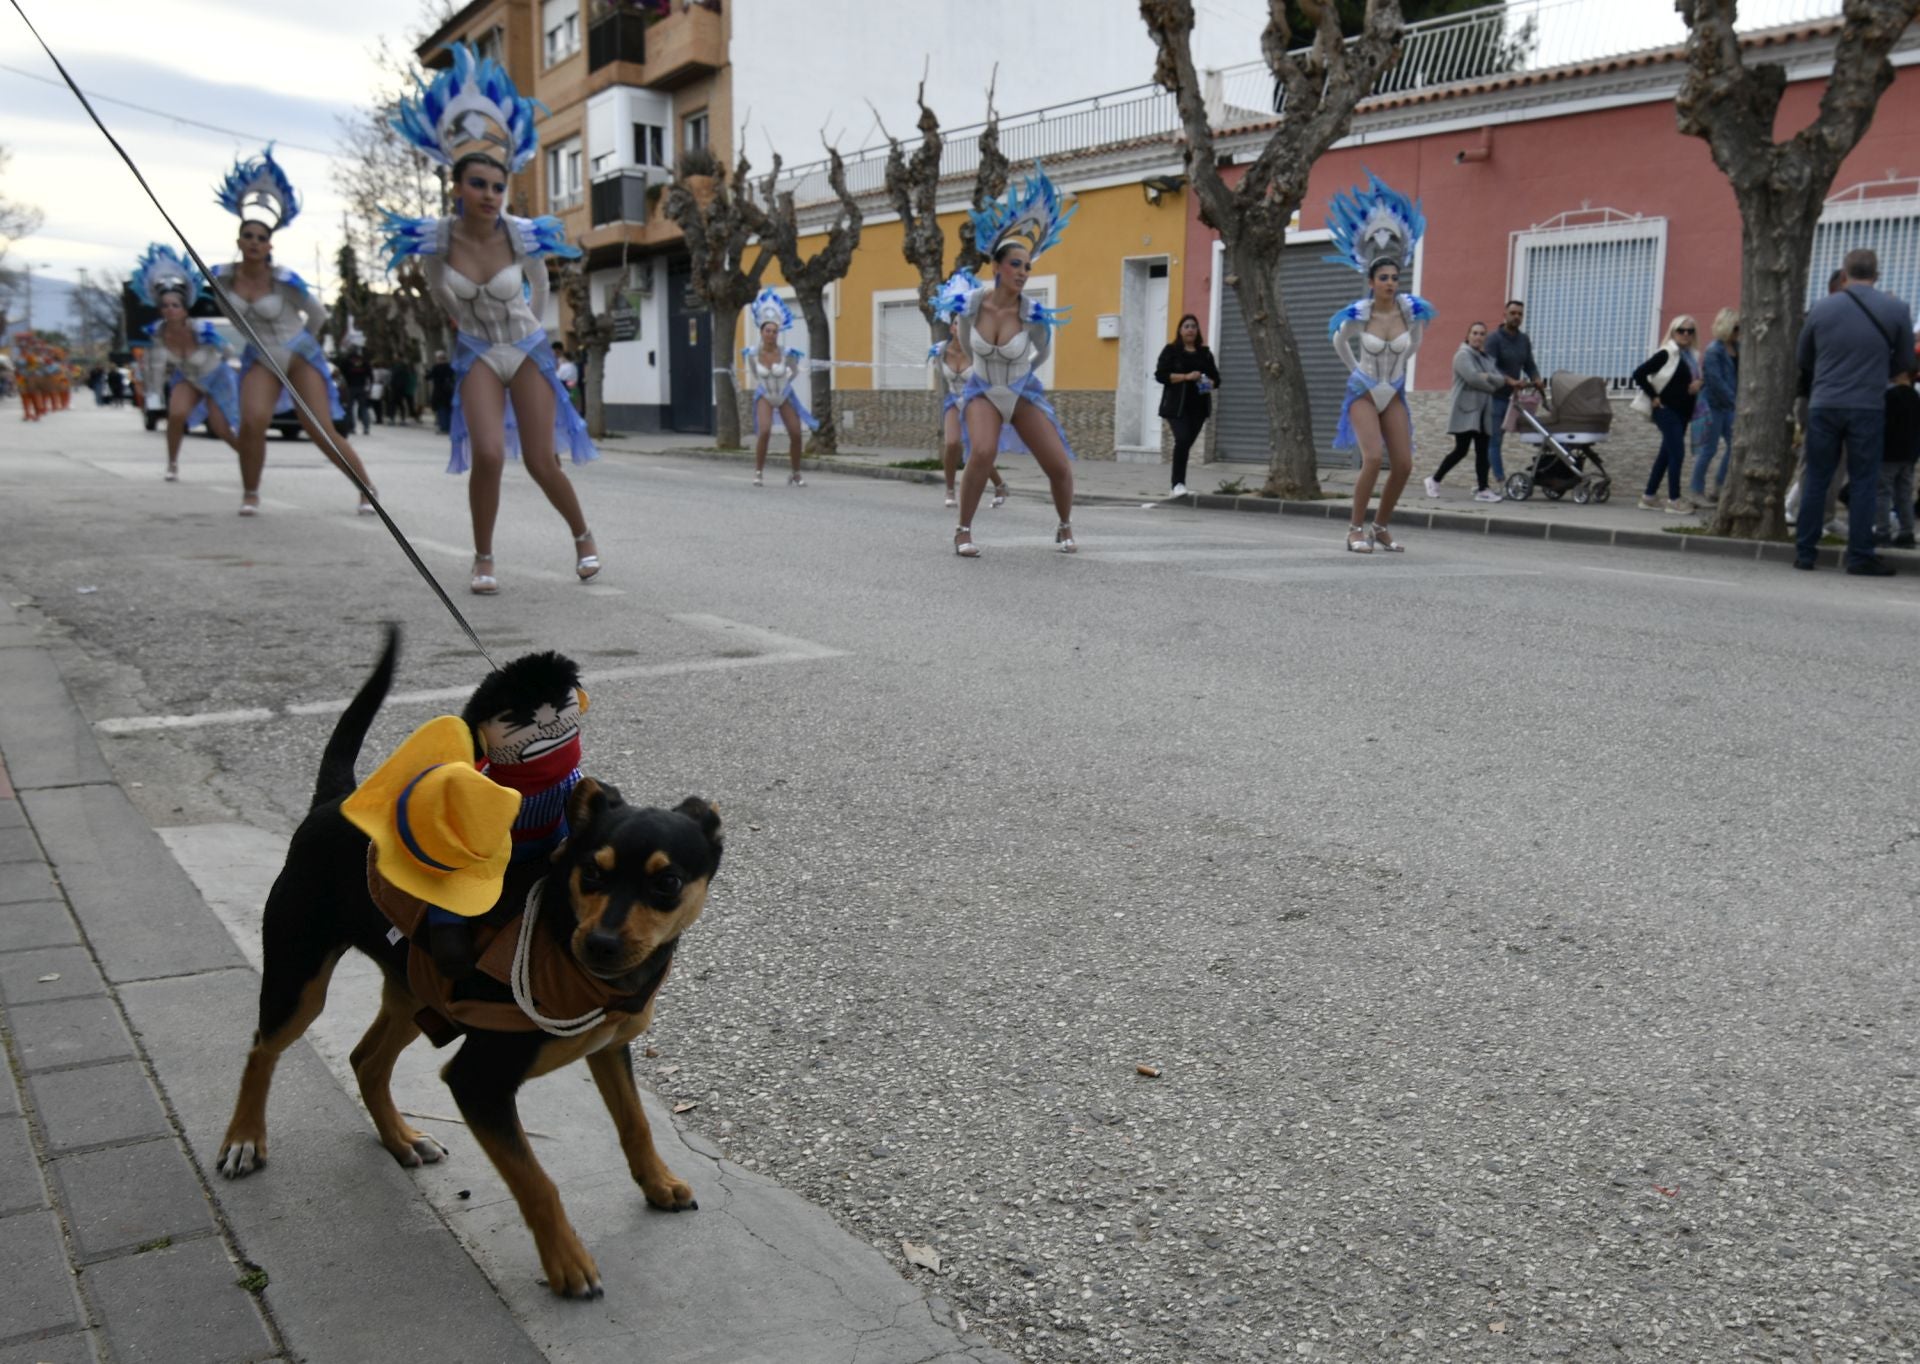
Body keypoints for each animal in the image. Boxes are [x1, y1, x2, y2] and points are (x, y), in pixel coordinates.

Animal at [217, 630, 721, 1306]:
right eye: (590, 873)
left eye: (666, 884)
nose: (601, 945)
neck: (558, 935)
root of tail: (335, 800)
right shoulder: (478, 1083)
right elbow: (537, 1182)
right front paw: (567, 1264)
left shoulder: (608, 1047)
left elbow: (636, 1123)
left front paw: (658, 1183)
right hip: (299, 979)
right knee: (261, 1049)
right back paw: (245, 1139)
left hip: (414, 991)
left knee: (366, 1060)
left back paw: (401, 1139)